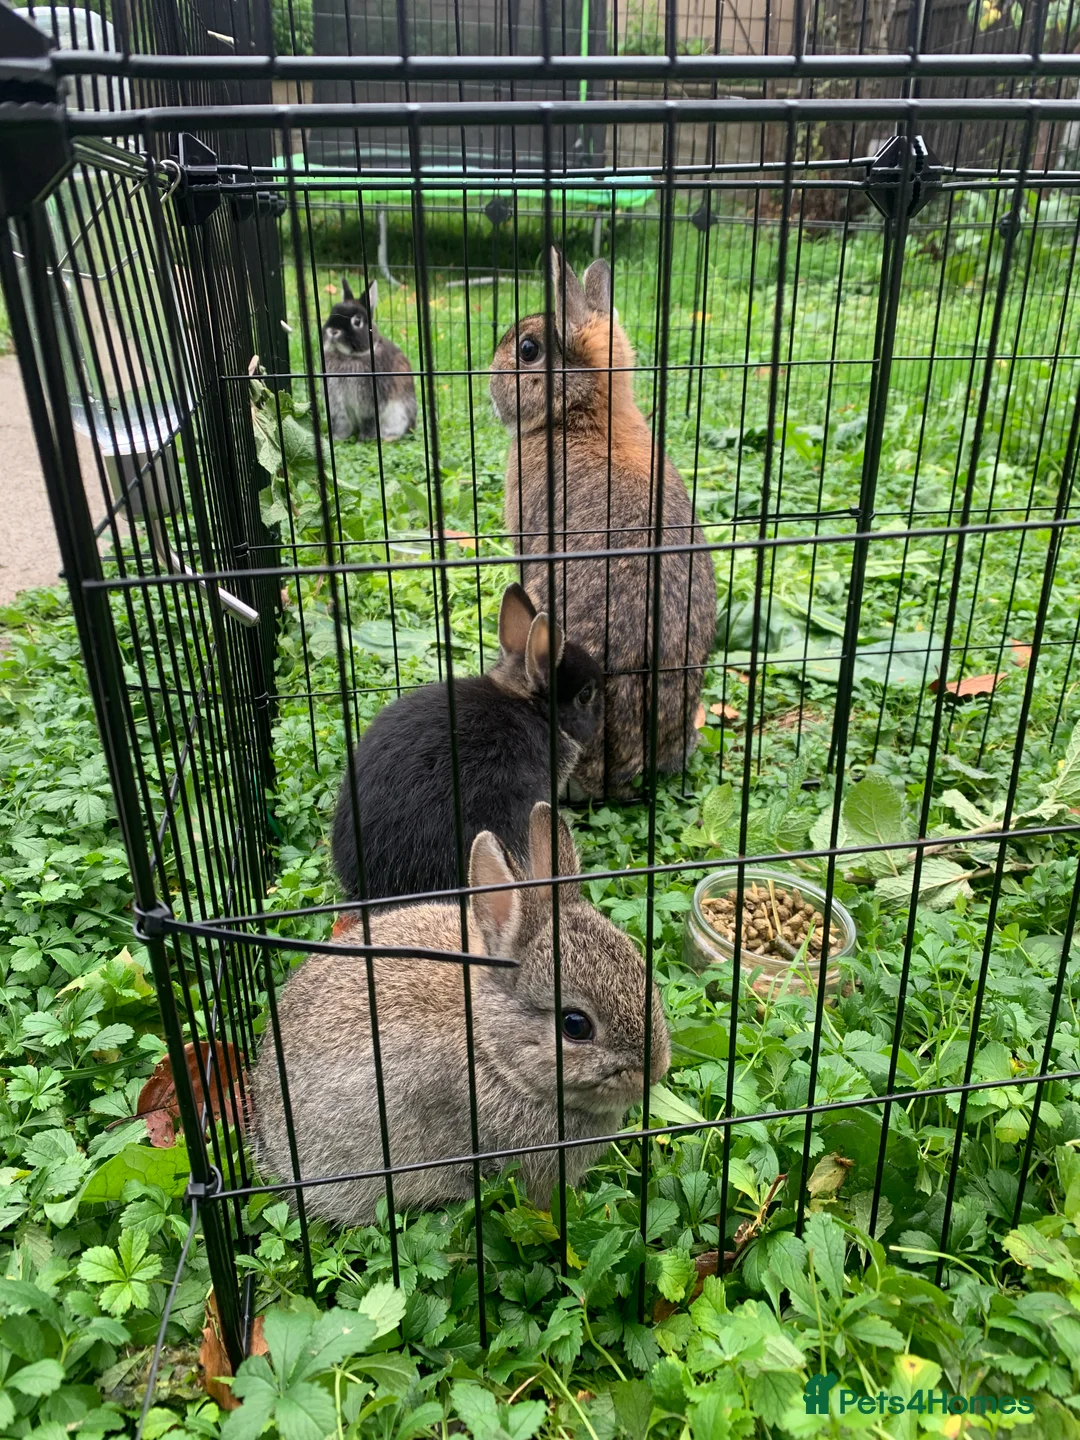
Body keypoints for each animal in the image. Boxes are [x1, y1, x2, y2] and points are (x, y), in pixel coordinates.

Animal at [322, 277, 417, 442]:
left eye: (357, 321)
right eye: (332, 313)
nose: (333, 331)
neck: (349, 356)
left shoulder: (370, 404)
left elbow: (369, 421)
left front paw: (365, 440)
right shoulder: (337, 404)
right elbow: (341, 422)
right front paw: (337, 438)